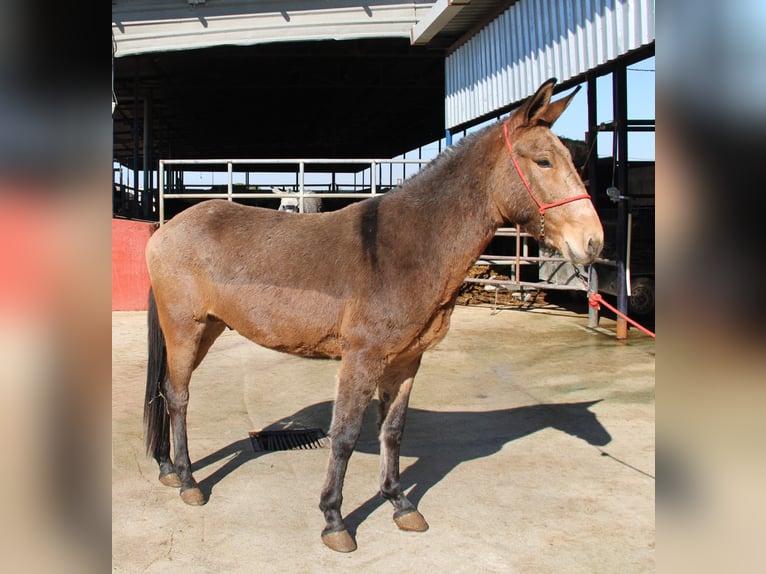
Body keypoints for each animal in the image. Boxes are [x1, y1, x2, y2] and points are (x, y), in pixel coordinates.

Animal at [143, 78, 604, 553]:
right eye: (544, 161)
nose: (593, 241)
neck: (406, 248)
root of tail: (168, 228)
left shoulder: (406, 360)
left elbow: (392, 431)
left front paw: (399, 503)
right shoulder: (362, 359)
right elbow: (345, 436)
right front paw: (334, 519)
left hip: (209, 328)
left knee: (164, 391)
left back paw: (167, 468)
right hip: (185, 328)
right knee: (178, 396)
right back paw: (189, 481)